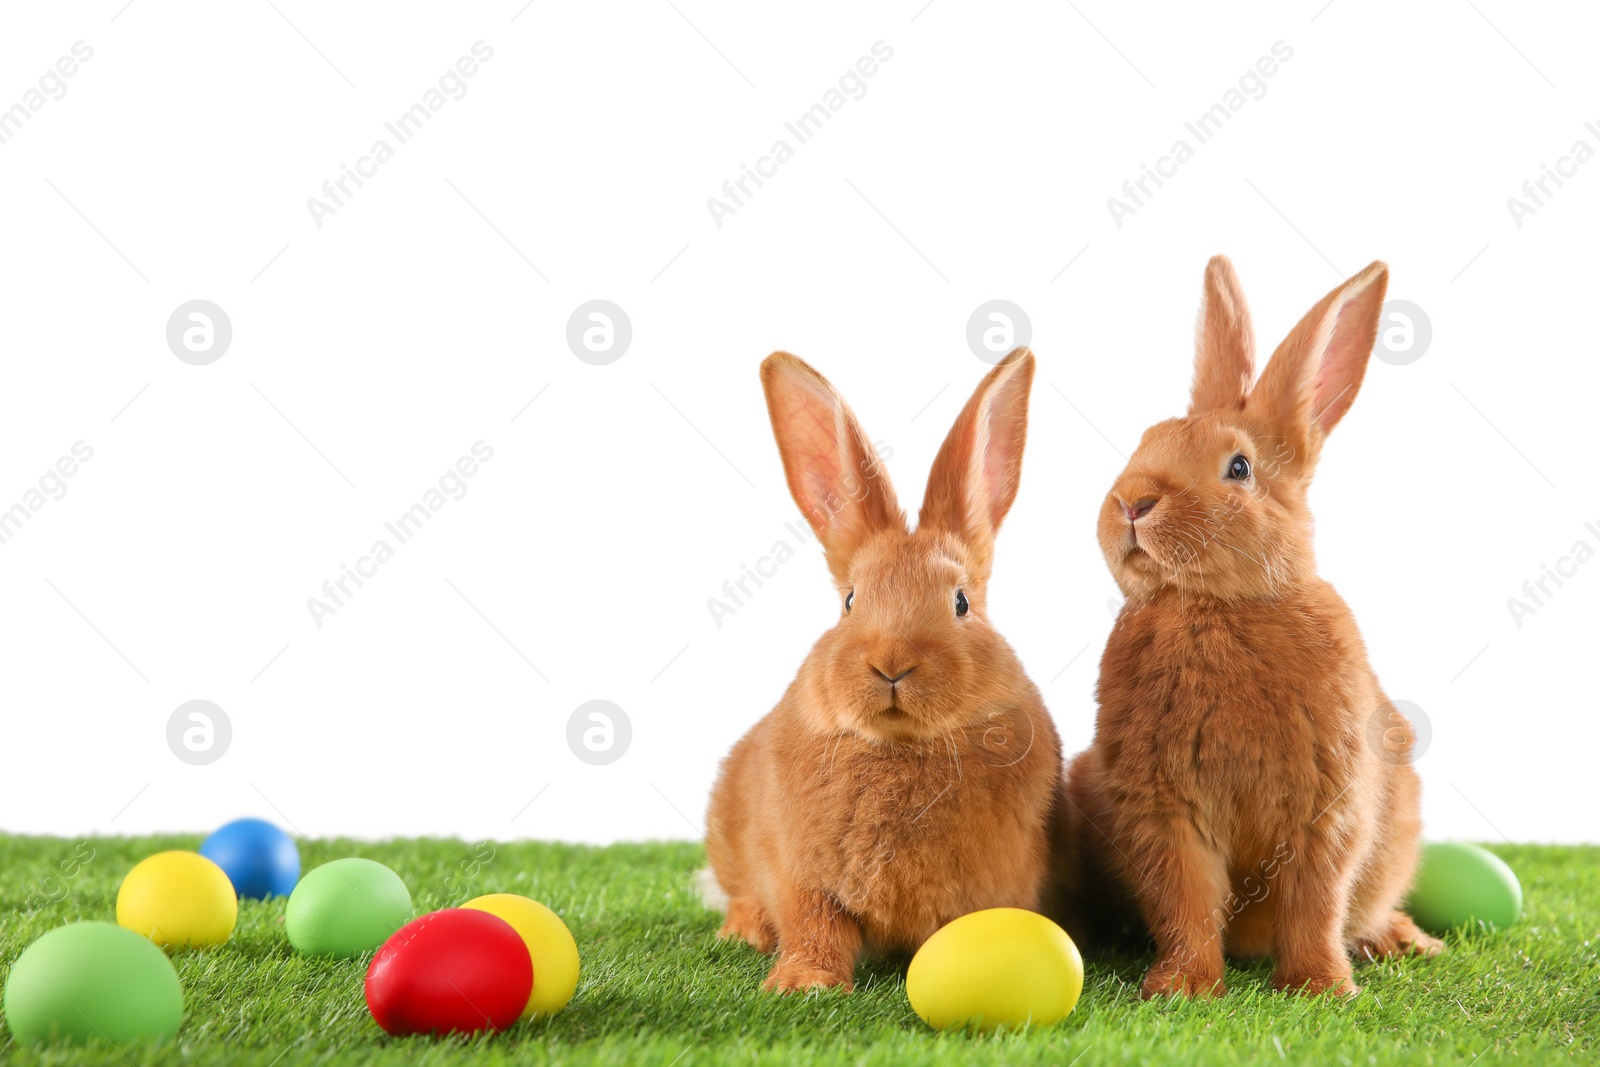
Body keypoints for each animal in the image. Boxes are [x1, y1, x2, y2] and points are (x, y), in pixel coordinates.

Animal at [704, 348, 1062, 991]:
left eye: (961, 602)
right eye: (850, 601)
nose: (891, 663)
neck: (901, 745)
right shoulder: (803, 877)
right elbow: (814, 927)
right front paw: (803, 985)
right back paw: (743, 933)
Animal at [1062, 259, 1452, 1004]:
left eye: (1238, 468)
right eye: (1145, 441)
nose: (1131, 501)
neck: (1214, 604)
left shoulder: (1327, 807)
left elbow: (1315, 900)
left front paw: (1320, 988)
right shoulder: (1164, 810)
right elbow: (1184, 899)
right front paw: (1181, 987)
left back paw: (1401, 940)